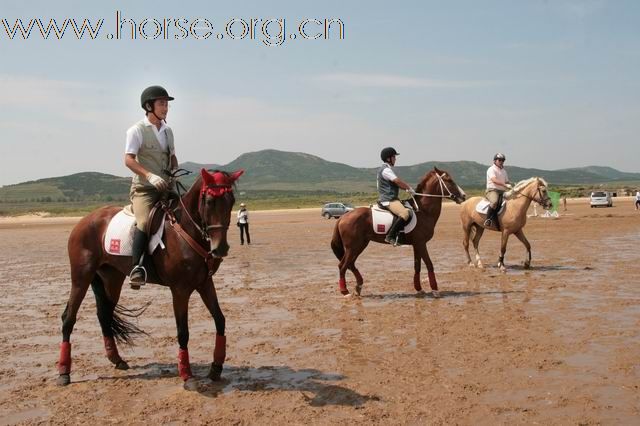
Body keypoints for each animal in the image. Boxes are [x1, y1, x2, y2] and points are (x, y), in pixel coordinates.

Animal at [55, 169, 244, 386]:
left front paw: (216, 368)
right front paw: (186, 375)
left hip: (111, 279)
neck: (186, 230)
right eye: (210, 201)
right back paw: (64, 372)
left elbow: (220, 320)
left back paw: (116, 359)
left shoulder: (205, 283)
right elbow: (183, 331)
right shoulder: (180, 290)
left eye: (231, 200)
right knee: (69, 318)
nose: (220, 248)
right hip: (81, 277)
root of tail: (84, 221)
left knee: (104, 315)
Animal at [330, 168, 464, 298]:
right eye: (449, 180)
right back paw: (345, 291)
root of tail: (343, 217)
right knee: (343, 265)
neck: (423, 211)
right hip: (353, 247)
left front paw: (419, 289)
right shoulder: (421, 243)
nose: (463, 196)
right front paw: (435, 290)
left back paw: (358, 287)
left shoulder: (417, 244)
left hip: (360, 245)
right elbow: (429, 264)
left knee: (350, 264)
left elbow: (417, 266)